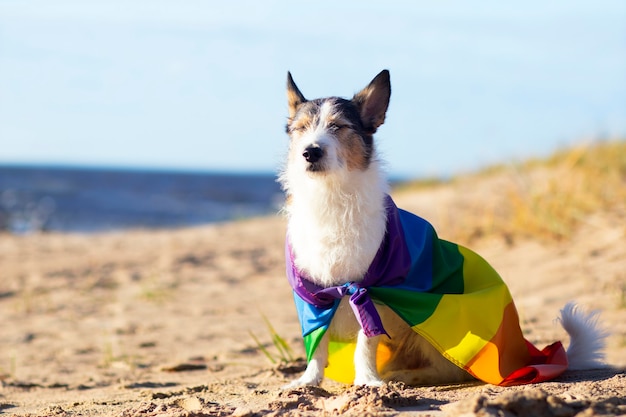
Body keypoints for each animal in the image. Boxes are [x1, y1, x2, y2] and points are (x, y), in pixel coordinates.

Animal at [276, 69, 604, 386]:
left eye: (338, 126)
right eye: (300, 129)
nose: (310, 152)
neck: (331, 195)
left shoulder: (371, 293)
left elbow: (364, 345)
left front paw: (368, 381)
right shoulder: (316, 297)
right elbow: (317, 345)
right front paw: (308, 381)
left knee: (448, 371)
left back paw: (403, 377)